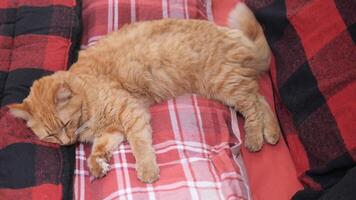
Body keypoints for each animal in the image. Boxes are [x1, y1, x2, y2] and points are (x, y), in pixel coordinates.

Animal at [8, 3, 280, 184]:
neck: (87, 97)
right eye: (51, 135)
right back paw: (272, 133)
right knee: (261, 99)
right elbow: (98, 150)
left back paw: (255, 137)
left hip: (223, 84)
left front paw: (147, 170)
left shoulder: (131, 114)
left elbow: (140, 145)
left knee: (254, 105)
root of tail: (233, 35)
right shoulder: (112, 130)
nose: (66, 143)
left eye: (64, 124)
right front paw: (98, 164)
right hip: (225, 87)